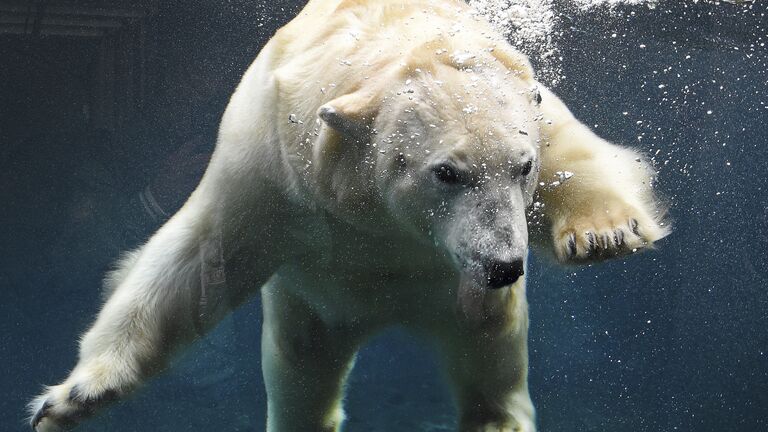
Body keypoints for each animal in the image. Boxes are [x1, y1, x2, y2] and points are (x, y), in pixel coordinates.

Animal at [28, 0, 664, 432]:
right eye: (446, 172)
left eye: (522, 167)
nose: (504, 265)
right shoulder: (273, 167)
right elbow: (199, 258)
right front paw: (72, 397)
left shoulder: (523, 95)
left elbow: (572, 150)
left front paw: (607, 233)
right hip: (313, 314)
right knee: (301, 375)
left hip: (467, 308)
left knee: (493, 363)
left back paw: (495, 418)